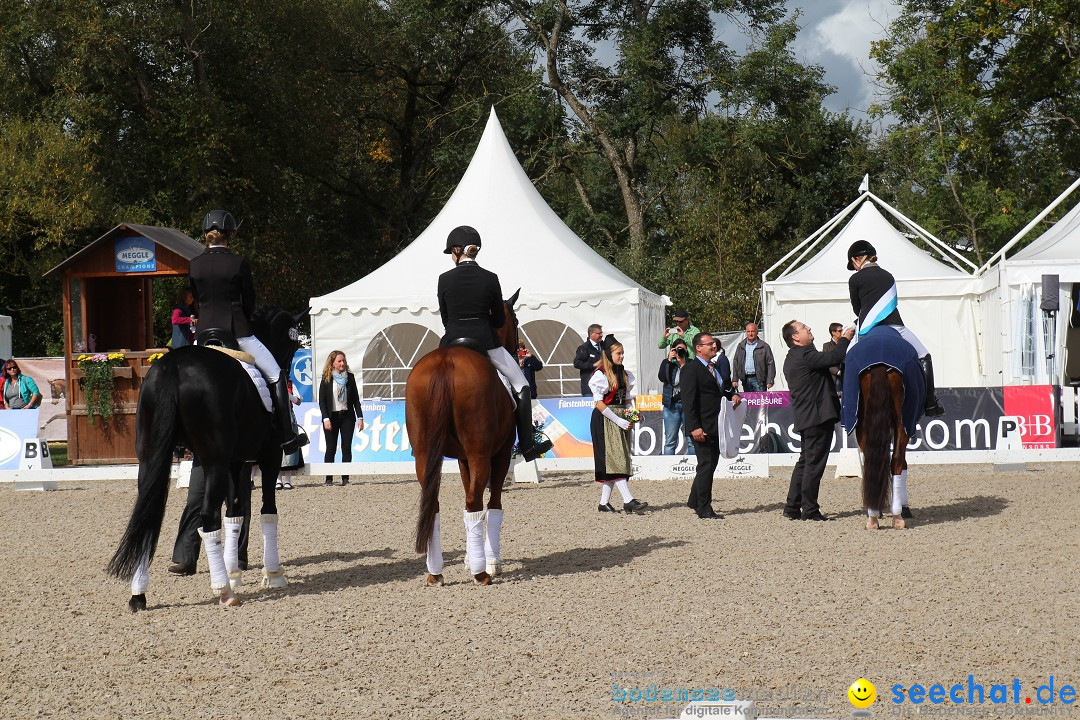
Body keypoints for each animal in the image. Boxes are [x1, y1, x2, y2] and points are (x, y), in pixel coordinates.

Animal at [106, 306, 304, 613]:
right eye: (292, 344)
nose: (286, 371)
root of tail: (173, 366)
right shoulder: (269, 458)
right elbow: (267, 513)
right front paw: (272, 575)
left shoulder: (237, 463)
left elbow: (235, 514)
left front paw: (234, 573)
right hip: (214, 464)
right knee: (208, 518)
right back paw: (224, 592)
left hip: (152, 460)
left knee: (148, 515)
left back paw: (139, 594)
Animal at [406, 289, 520, 587]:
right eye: (514, 320)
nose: (519, 349)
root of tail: (446, 361)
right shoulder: (500, 454)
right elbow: (493, 504)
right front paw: (491, 561)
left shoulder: (461, 458)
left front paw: (470, 557)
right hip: (482, 453)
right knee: (474, 503)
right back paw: (481, 573)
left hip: (426, 454)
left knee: (434, 504)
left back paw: (435, 572)